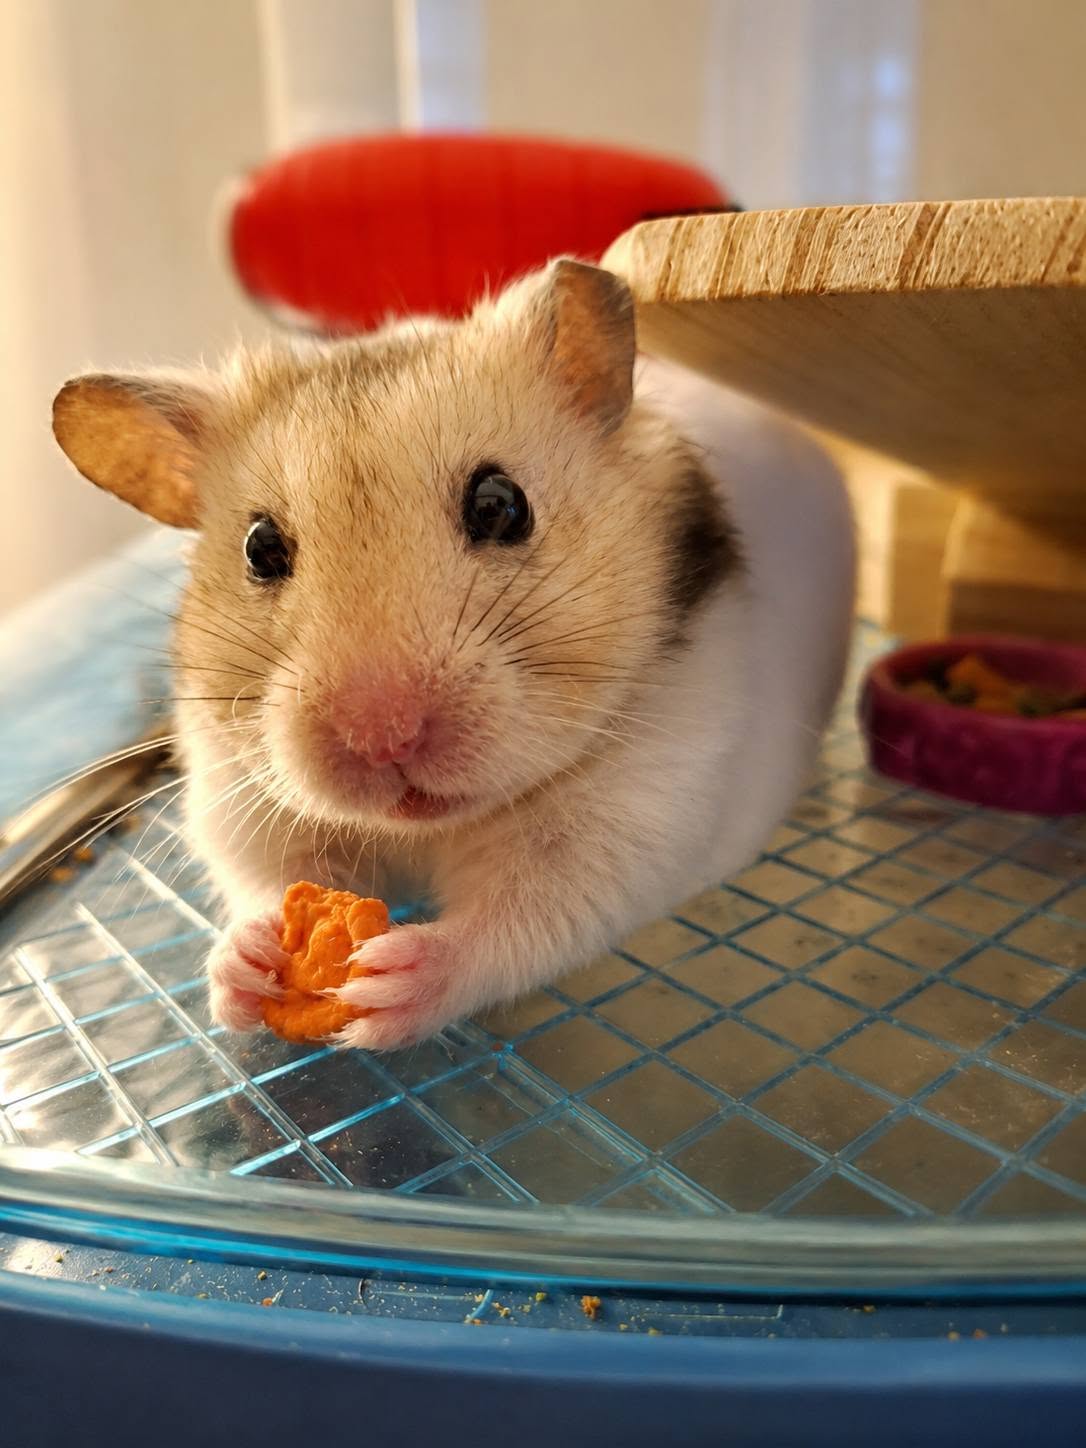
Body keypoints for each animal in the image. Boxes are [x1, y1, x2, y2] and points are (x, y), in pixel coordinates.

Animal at [51, 259, 854, 1051]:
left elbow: (524, 920)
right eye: (259, 548)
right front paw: (247, 970)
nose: (384, 739)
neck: (428, 829)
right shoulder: (236, 799)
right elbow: (260, 878)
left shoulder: (638, 816)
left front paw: (384, 986)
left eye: (500, 504)